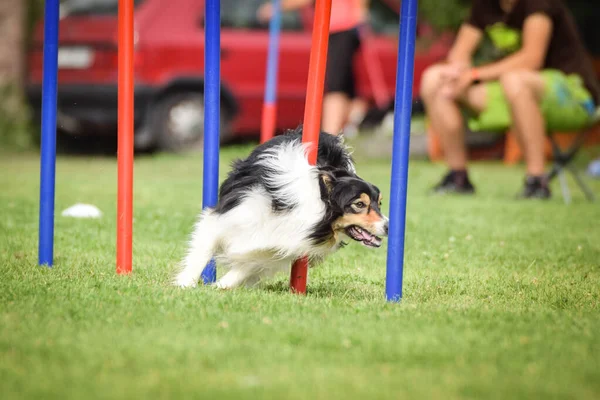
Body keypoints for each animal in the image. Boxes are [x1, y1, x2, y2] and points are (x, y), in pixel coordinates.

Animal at [173, 126, 390, 290]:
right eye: (359, 205)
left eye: (379, 204)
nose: (389, 226)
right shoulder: (229, 216)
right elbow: (203, 251)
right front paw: (185, 285)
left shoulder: (282, 244)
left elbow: (250, 264)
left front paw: (222, 285)